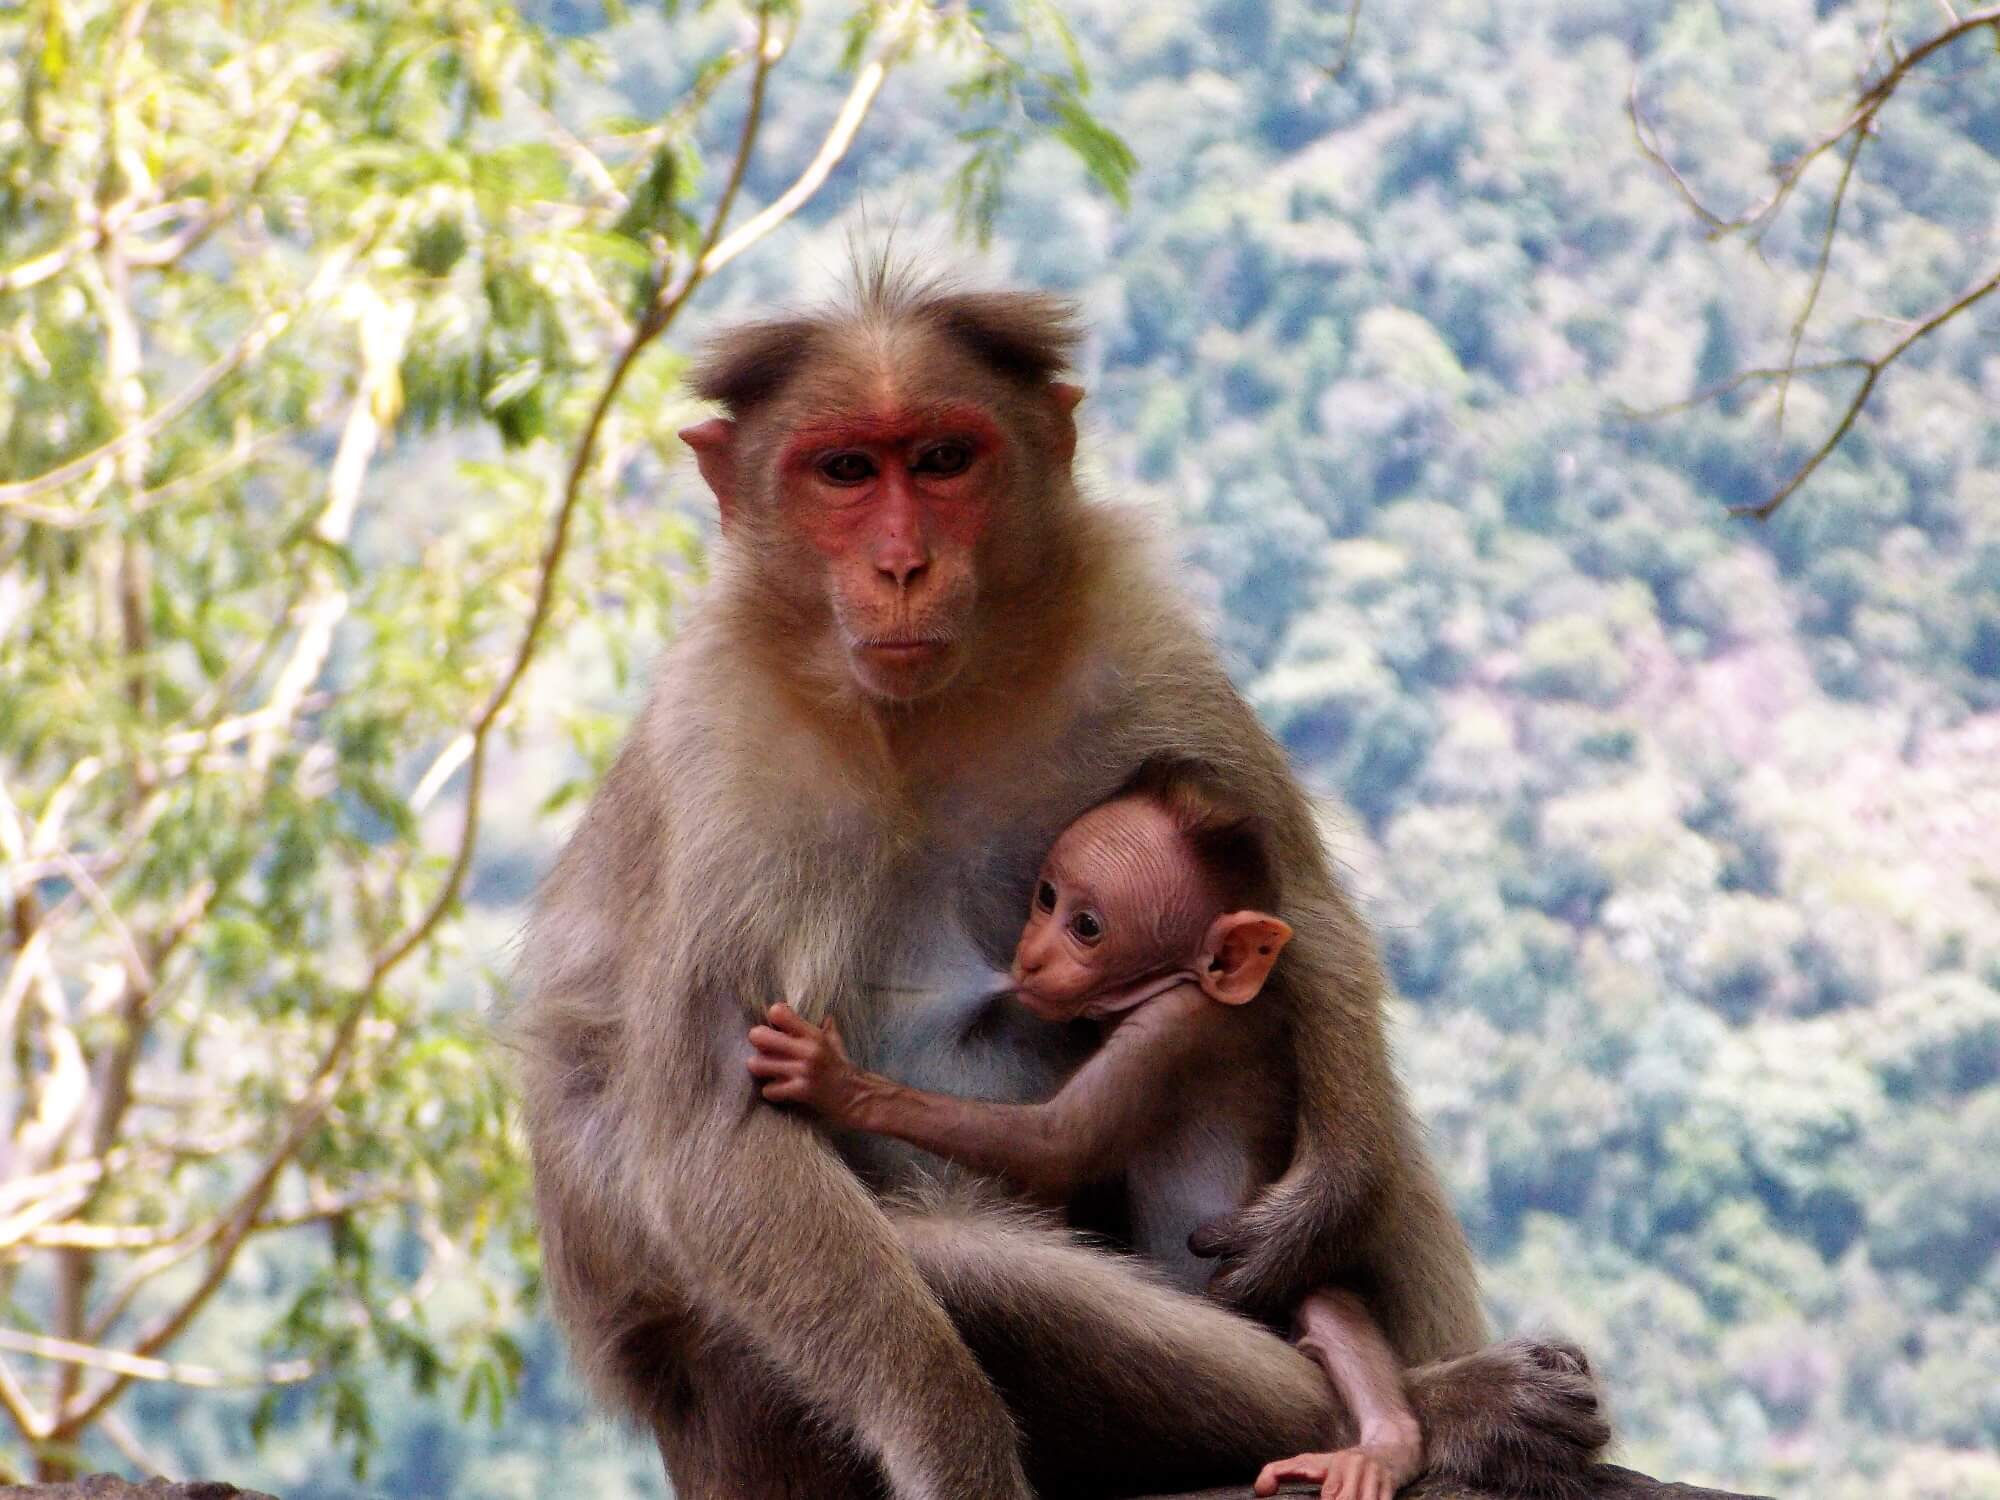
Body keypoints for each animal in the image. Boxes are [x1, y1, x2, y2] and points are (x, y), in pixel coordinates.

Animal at [752, 768, 1424, 1496]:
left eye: (1087, 927)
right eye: (1047, 897)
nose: (1030, 958)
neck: (1174, 983)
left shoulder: (1170, 1029)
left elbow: (1057, 1143)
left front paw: (833, 1081)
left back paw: (1386, 1443)